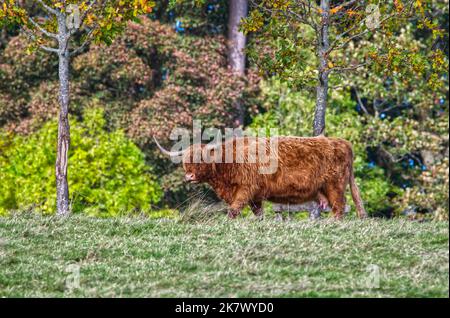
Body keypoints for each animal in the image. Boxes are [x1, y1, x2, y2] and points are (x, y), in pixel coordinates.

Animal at [155, 135, 366, 220]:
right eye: (185, 161)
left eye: (201, 159)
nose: (189, 176)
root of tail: (343, 143)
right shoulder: (255, 197)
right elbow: (258, 213)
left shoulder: (246, 189)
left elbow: (233, 210)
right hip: (323, 189)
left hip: (334, 184)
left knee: (340, 206)